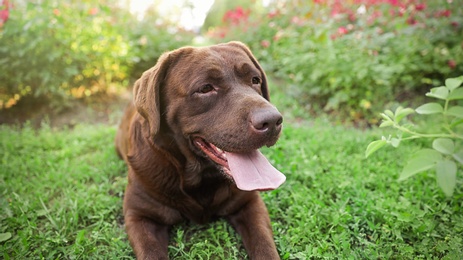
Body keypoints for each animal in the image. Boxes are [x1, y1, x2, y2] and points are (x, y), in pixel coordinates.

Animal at [114, 41, 284, 258]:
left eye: (255, 80)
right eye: (205, 88)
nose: (272, 121)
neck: (199, 177)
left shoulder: (250, 203)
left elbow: (265, 246)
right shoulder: (139, 215)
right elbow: (151, 252)